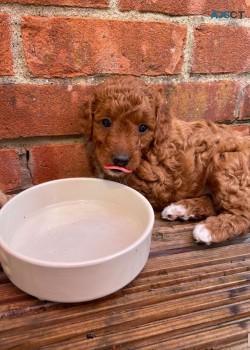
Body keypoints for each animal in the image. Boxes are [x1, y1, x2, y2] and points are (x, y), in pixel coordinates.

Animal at [88, 76, 250, 243]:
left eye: (143, 128)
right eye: (106, 122)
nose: (121, 160)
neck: (150, 148)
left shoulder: (161, 181)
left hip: (229, 165)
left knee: (243, 215)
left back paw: (208, 230)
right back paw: (181, 210)